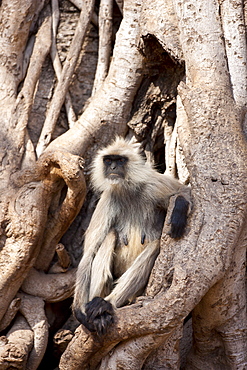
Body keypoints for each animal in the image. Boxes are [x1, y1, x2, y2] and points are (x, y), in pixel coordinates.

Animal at [72, 137, 192, 336]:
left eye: (120, 160)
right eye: (108, 160)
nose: (113, 167)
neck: (127, 189)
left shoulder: (153, 184)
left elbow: (185, 190)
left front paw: (180, 208)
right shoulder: (108, 198)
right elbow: (88, 254)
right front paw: (79, 312)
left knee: (154, 245)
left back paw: (107, 305)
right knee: (110, 236)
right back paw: (98, 311)